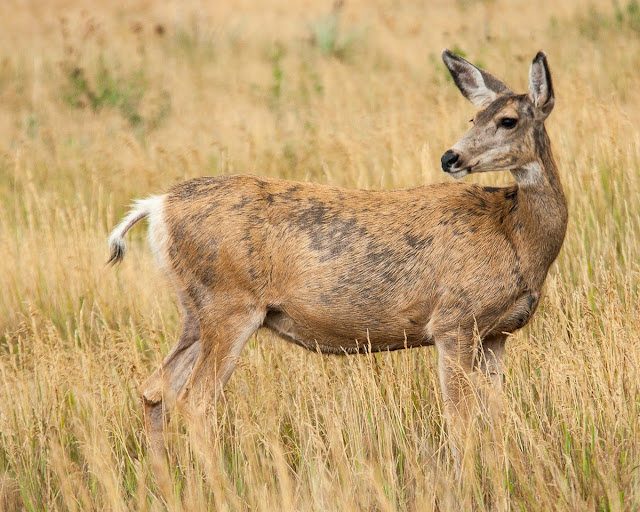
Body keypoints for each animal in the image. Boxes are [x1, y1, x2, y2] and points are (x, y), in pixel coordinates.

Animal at [107, 50, 568, 454]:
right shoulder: (454, 321)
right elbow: (461, 424)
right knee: (195, 402)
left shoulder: (496, 334)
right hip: (229, 304)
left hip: (194, 310)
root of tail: (158, 206)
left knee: (154, 390)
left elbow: (494, 418)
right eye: (475, 117)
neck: (516, 233)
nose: (450, 157)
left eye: (507, 120)